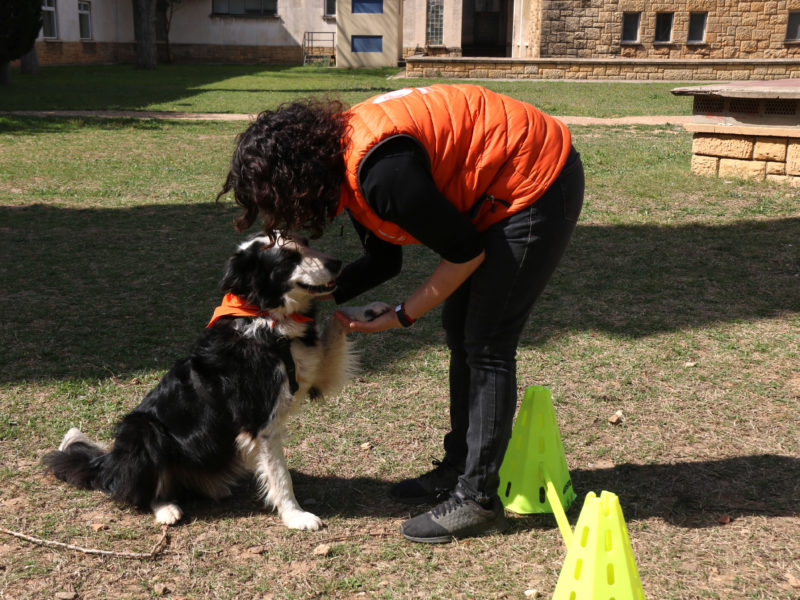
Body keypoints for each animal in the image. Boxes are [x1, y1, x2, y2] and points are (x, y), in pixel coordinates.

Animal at [45, 234, 390, 528]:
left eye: (306, 243)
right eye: (288, 257)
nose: (336, 262)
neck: (266, 316)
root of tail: (107, 463)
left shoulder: (312, 372)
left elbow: (336, 322)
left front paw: (368, 311)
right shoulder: (259, 419)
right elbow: (281, 475)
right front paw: (296, 516)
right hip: (143, 429)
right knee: (139, 490)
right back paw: (166, 508)